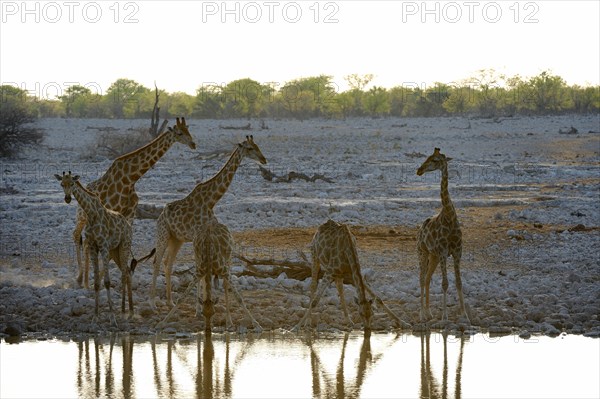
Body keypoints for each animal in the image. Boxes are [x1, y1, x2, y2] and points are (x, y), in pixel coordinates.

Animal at [54, 173, 155, 322]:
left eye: (72, 183)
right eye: (62, 184)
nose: (67, 198)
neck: (91, 213)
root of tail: (128, 226)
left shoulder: (103, 246)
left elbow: (107, 282)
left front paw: (112, 316)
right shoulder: (93, 247)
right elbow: (96, 282)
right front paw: (96, 315)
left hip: (124, 246)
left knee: (125, 273)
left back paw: (127, 312)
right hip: (115, 251)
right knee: (127, 271)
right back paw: (126, 311)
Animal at [74, 117, 197, 290]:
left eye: (188, 130)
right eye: (179, 133)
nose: (193, 144)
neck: (130, 178)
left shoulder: (129, 214)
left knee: (83, 241)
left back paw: (85, 279)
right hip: (82, 216)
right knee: (78, 237)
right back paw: (81, 279)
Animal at [149, 135, 266, 310]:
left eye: (258, 146)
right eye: (250, 148)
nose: (263, 159)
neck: (211, 200)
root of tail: (161, 216)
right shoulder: (197, 235)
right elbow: (200, 269)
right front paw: (200, 307)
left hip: (176, 239)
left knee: (167, 263)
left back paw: (170, 301)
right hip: (163, 234)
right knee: (156, 263)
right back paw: (152, 303)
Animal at [414, 148, 472, 324]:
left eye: (434, 160)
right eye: (427, 157)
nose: (419, 170)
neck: (449, 216)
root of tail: (420, 229)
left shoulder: (457, 253)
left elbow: (459, 282)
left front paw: (464, 315)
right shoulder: (443, 252)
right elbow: (445, 283)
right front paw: (445, 316)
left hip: (432, 256)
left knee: (427, 279)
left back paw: (429, 313)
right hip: (422, 252)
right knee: (421, 278)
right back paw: (422, 314)